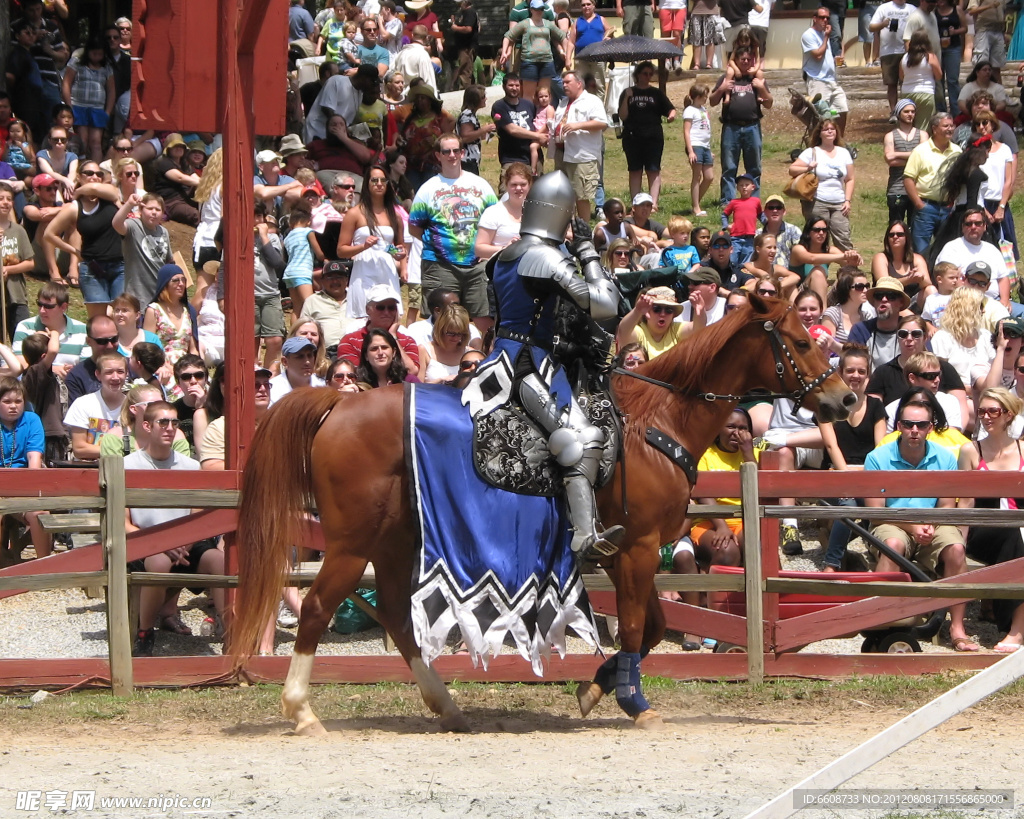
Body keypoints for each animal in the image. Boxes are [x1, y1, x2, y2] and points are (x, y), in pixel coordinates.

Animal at [234, 296, 856, 737]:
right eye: (801, 340)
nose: (846, 400)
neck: (660, 421)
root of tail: (338, 405)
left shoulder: (632, 551)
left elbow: (653, 627)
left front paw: (597, 687)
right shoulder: (637, 549)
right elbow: (637, 626)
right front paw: (633, 701)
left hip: (394, 541)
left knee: (394, 614)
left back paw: (447, 706)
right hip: (351, 541)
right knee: (318, 607)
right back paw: (303, 712)